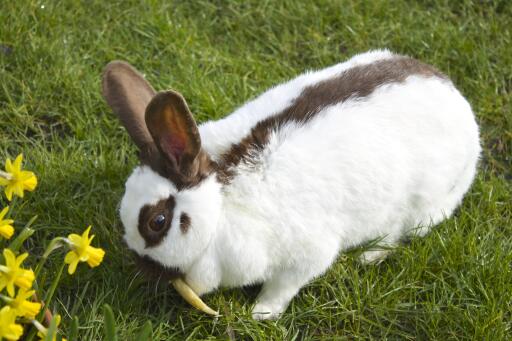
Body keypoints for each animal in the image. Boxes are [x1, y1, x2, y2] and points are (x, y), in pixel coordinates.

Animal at [103, 48, 480, 318]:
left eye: (157, 221)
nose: (144, 269)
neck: (220, 204)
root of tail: (462, 107)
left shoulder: (306, 256)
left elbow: (285, 285)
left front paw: (261, 313)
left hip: (420, 207)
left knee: (399, 235)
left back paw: (368, 256)